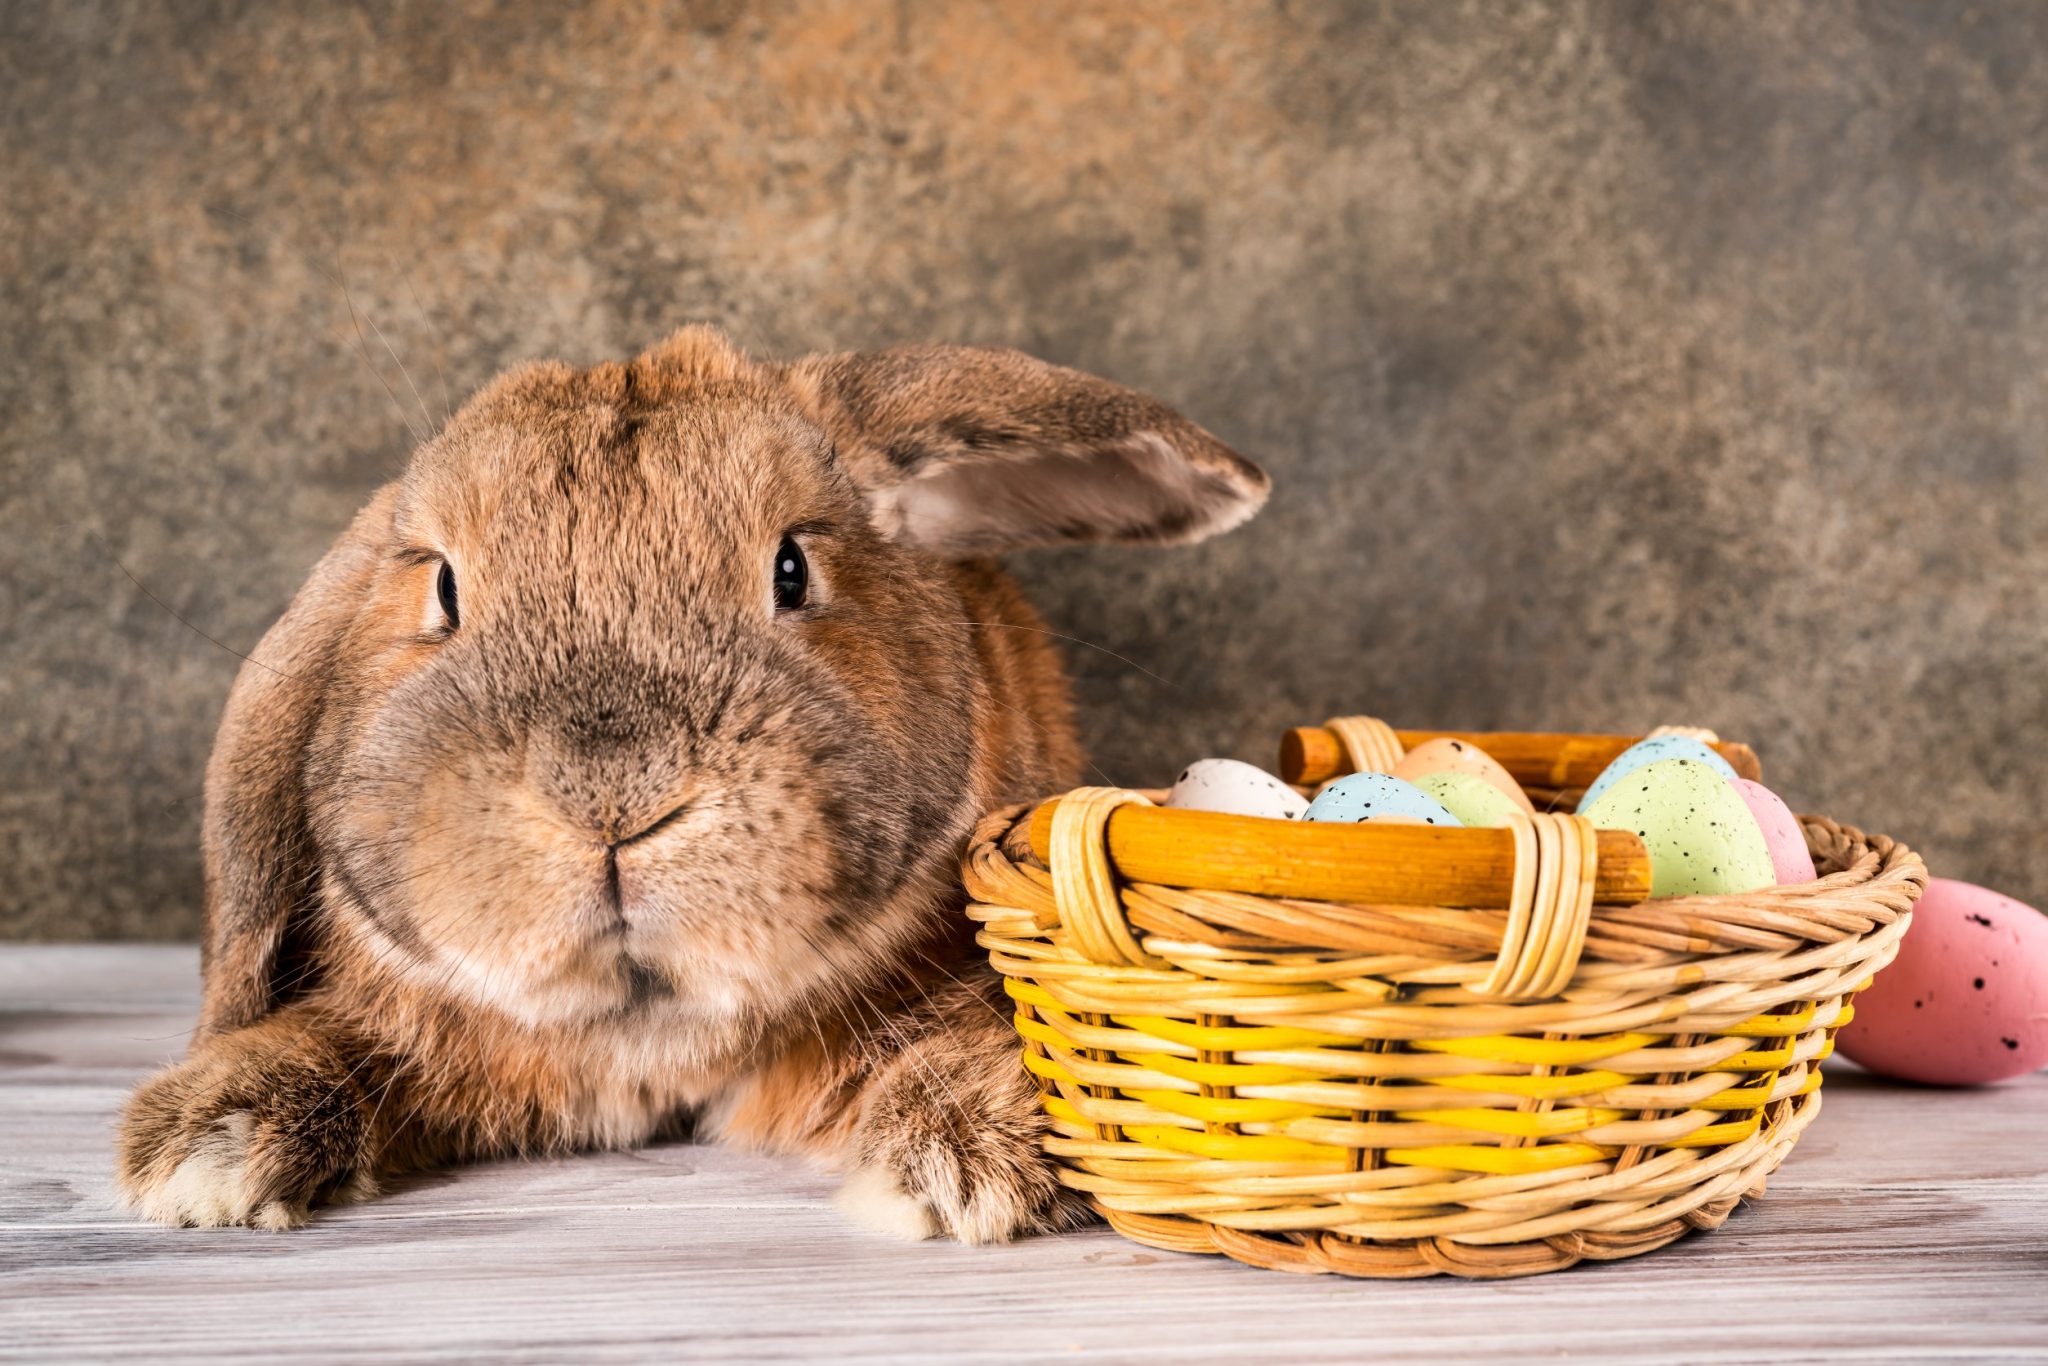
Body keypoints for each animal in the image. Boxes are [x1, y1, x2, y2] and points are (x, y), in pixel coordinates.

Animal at [115, 326, 1267, 1242]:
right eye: (441, 586)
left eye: (793, 569)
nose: (610, 796)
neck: (647, 1033)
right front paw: (208, 1149)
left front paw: (965, 1160)